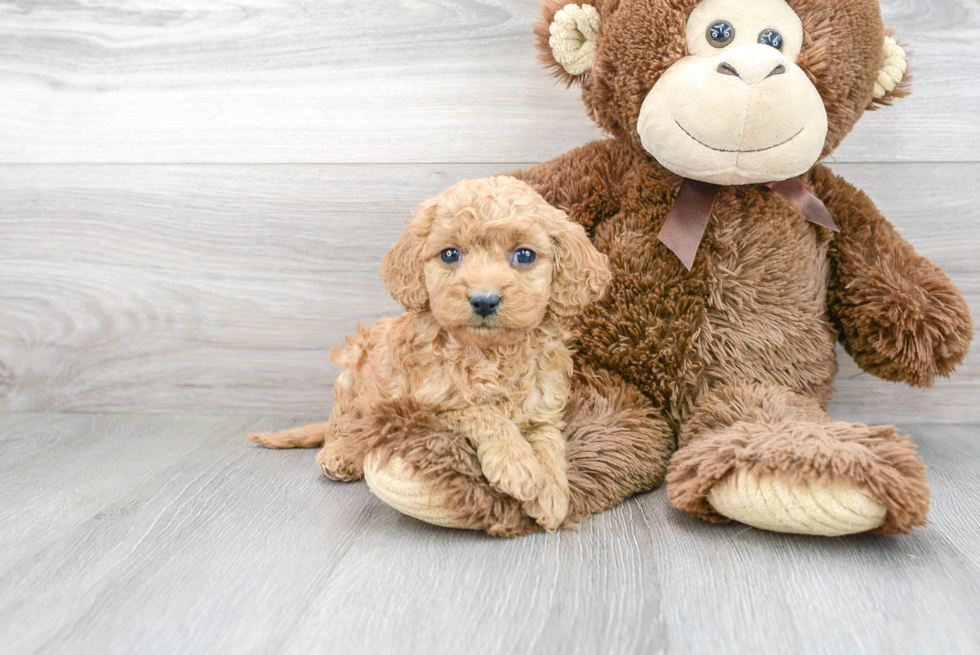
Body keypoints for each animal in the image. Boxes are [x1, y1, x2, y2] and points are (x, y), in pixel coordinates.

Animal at [249, 176, 608, 532]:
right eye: (449, 254)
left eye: (524, 255)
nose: (484, 300)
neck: (490, 353)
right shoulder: (429, 407)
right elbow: (483, 413)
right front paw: (517, 466)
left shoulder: (542, 408)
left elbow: (550, 441)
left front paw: (552, 494)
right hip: (352, 371)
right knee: (343, 424)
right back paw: (340, 455)